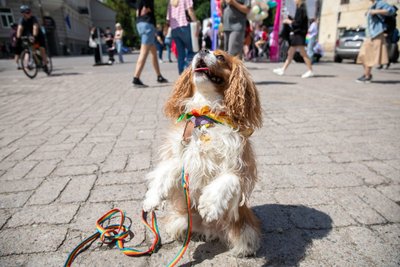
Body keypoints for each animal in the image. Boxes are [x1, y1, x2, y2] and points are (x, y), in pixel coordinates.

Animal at [143, 49, 262, 258]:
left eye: (221, 57)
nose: (202, 50)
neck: (206, 115)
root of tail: (210, 230)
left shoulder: (240, 165)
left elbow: (229, 179)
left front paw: (210, 205)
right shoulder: (182, 153)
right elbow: (166, 171)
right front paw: (152, 198)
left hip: (243, 224)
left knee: (245, 236)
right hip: (181, 218)